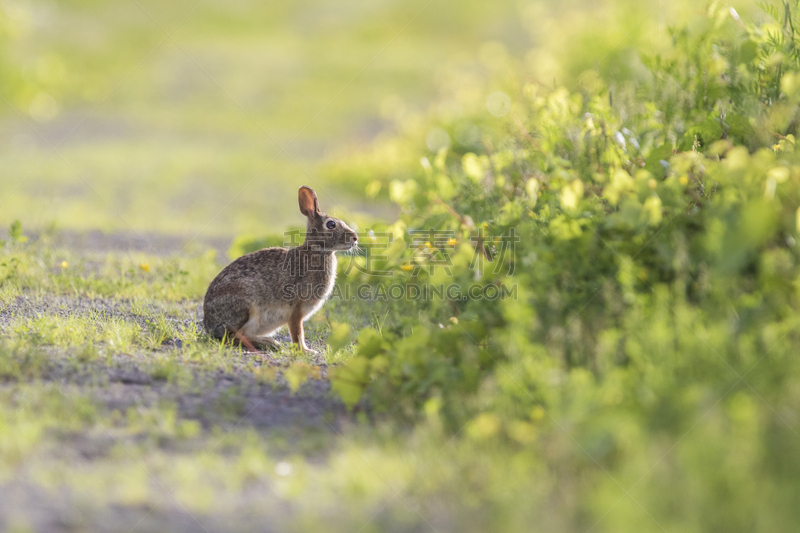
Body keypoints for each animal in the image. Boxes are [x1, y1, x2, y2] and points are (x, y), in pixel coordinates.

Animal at [203, 185, 360, 356]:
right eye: (331, 225)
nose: (355, 238)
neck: (317, 251)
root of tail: (209, 324)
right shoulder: (295, 309)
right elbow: (298, 333)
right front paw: (306, 351)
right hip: (245, 304)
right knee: (231, 336)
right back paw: (270, 343)